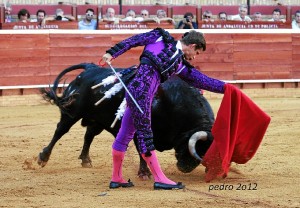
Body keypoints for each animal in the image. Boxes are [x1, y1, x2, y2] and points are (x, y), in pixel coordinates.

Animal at [38, 63, 216, 177]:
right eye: (197, 148)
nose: (186, 168)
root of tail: (90, 68)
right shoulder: (140, 131)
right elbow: (144, 151)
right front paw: (144, 173)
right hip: (73, 113)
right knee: (60, 131)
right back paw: (43, 157)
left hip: (97, 120)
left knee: (88, 136)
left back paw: (86, 160)